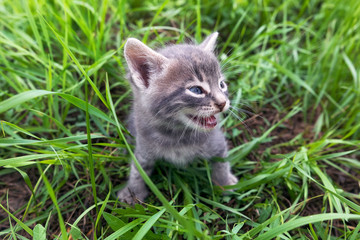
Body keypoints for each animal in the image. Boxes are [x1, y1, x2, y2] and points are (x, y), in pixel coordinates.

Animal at [116, 32, 238, 204]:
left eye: (222, 84)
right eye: (196, 90)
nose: (223, 103)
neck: (176, 135)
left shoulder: (217, 141)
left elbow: (222, 162)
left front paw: (224, 182)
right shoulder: (144, 146)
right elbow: (137, 169)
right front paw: (133, 191)